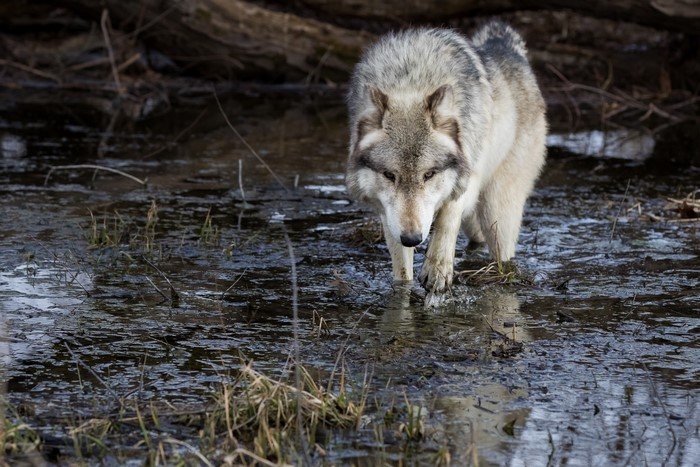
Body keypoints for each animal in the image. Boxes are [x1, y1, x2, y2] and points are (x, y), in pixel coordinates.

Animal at [346, 21, 547, 295]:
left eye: (429, 174)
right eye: (389, 175)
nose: (412, 238)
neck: (411, 82)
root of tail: (506, 47)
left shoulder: (466, 179)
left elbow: (447, 219)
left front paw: (438, 269)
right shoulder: (389, 215)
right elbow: (402, 270)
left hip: (498, 210)